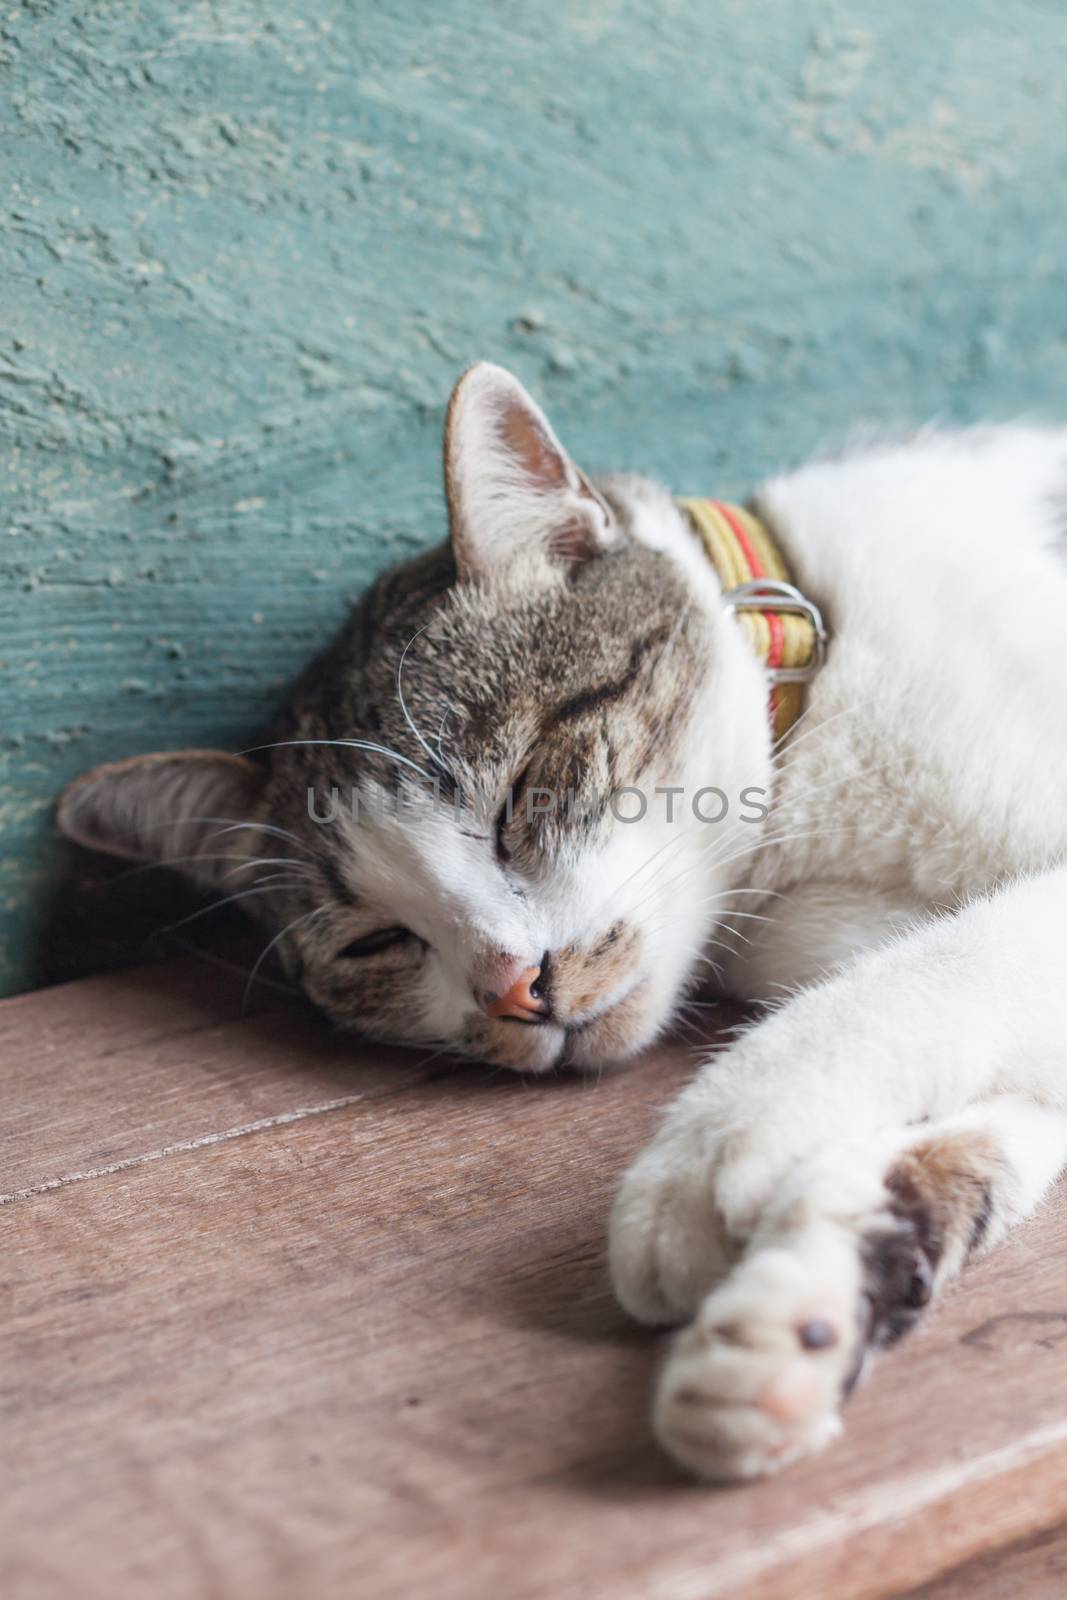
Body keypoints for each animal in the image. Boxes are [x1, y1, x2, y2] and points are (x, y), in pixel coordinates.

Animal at [60, 360, 1067, 1472]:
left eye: (519, 794)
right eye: (375, 941)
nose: (514, 984)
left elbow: (938, 968)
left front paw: (710, 1152)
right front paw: (806, 1305)